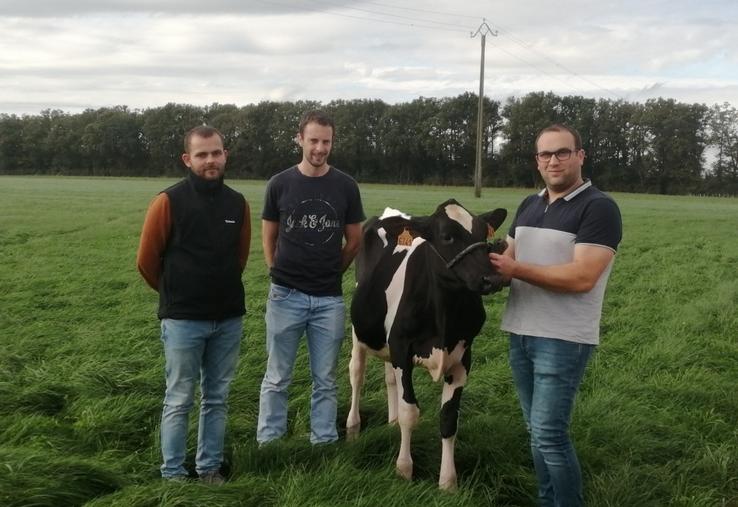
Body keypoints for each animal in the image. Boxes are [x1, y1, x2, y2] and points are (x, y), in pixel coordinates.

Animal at [344, 199, 506, 492]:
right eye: (446, 236)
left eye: (483, 234)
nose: (493, 279)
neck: (444, 313)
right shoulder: (402, 350)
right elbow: (410, 412)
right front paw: (404, 469)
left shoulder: (463, 358)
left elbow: (449, 419)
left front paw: (448, 482)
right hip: (359, 332)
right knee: (357, 373)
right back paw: (353, 426)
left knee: (389, 378)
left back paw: (391, 422)